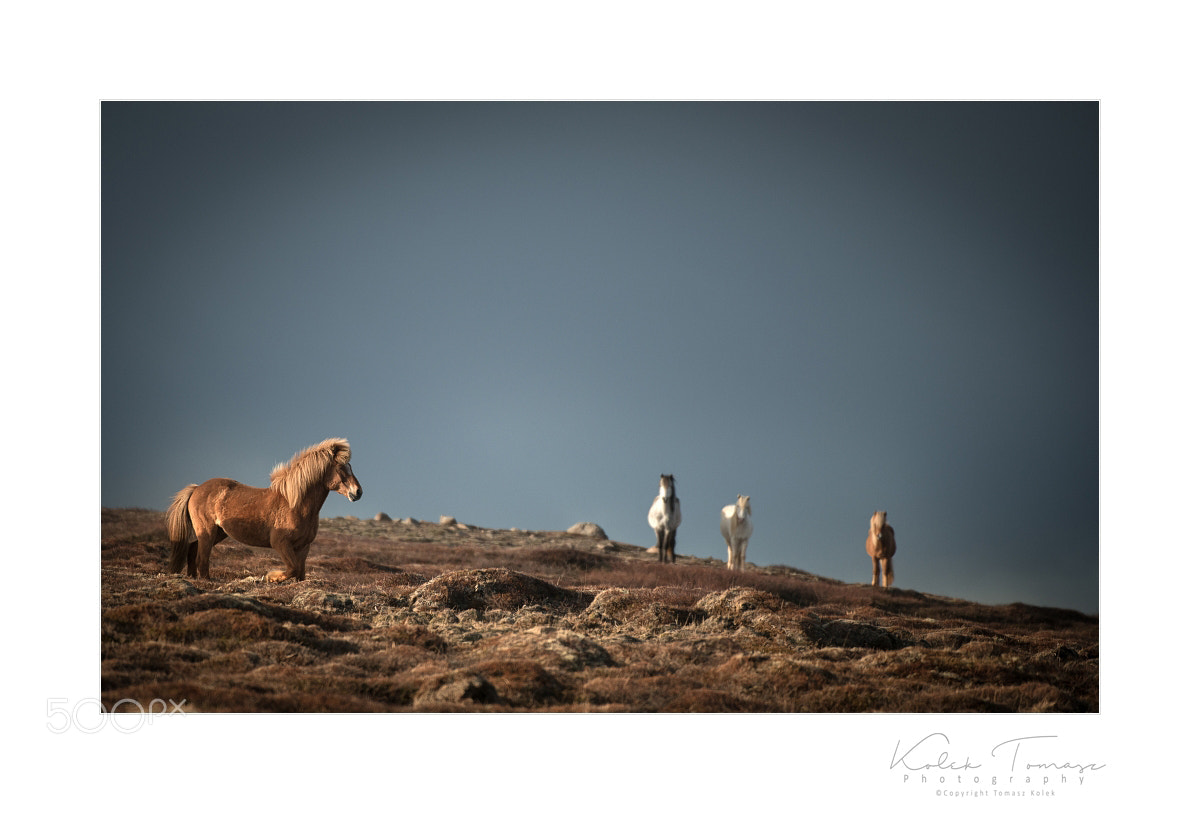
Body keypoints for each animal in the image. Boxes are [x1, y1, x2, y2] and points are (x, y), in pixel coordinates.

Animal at [165, 438, 362, 582]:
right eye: (341, 468)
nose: (358, 492)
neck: (295, 505)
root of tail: (196, 488)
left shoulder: (303, 547)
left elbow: (300, 573)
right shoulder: (280, 543)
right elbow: (292, 569)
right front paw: (271, 577)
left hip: (218, 532)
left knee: (193, 549)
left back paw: (192, 578)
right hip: (207, 530)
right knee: (202, 559)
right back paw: (205, 581)